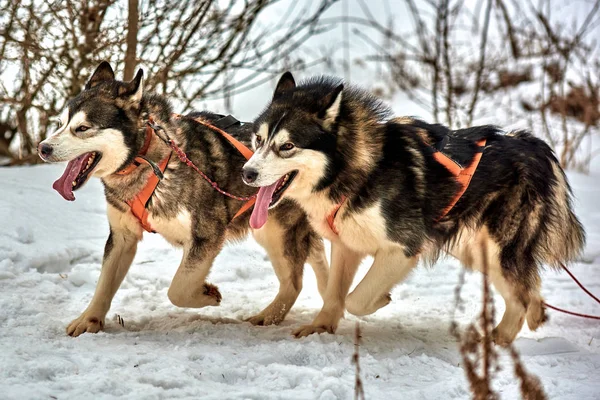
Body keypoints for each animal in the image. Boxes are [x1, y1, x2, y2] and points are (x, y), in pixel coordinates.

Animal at [37, 61, 328, 338]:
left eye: (82, 128)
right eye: (61, 124)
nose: (43, 148)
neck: (149, 161)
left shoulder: (206, 235)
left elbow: (177, 289)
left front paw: (207, 293)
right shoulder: (122, 236)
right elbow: (104, 283)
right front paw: (89, 319)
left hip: (275, 232)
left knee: (294, 282)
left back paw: (269, 316)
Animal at [243, 72, 584, 346]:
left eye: (287, 146)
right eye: (258, 139)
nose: (247, 172)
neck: (360, 170)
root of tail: (533, 145)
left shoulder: (402, 248)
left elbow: (356, 299)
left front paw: (379, 299)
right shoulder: (346, 244)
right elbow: (333, 294)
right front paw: (321, 326)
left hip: (498, 249)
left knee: (519, 298)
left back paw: (497, 342)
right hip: (476, 251)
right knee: (528, 289)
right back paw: (534, 315)